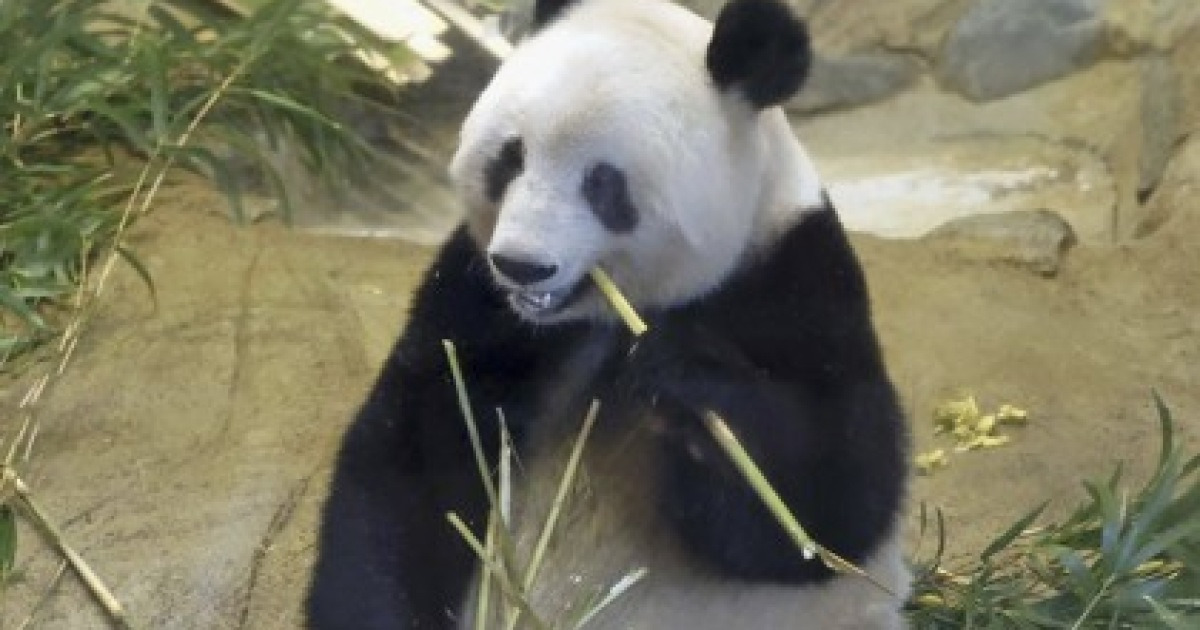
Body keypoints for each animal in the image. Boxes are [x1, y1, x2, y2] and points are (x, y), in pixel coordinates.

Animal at [307, 0, 911, 628]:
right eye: (510, 158)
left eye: (603, 182)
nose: (521, 266)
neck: (612, 314)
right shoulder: (477, 300)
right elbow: (415, 457)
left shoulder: (796, 280)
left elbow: (832, 510)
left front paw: (687, 379)